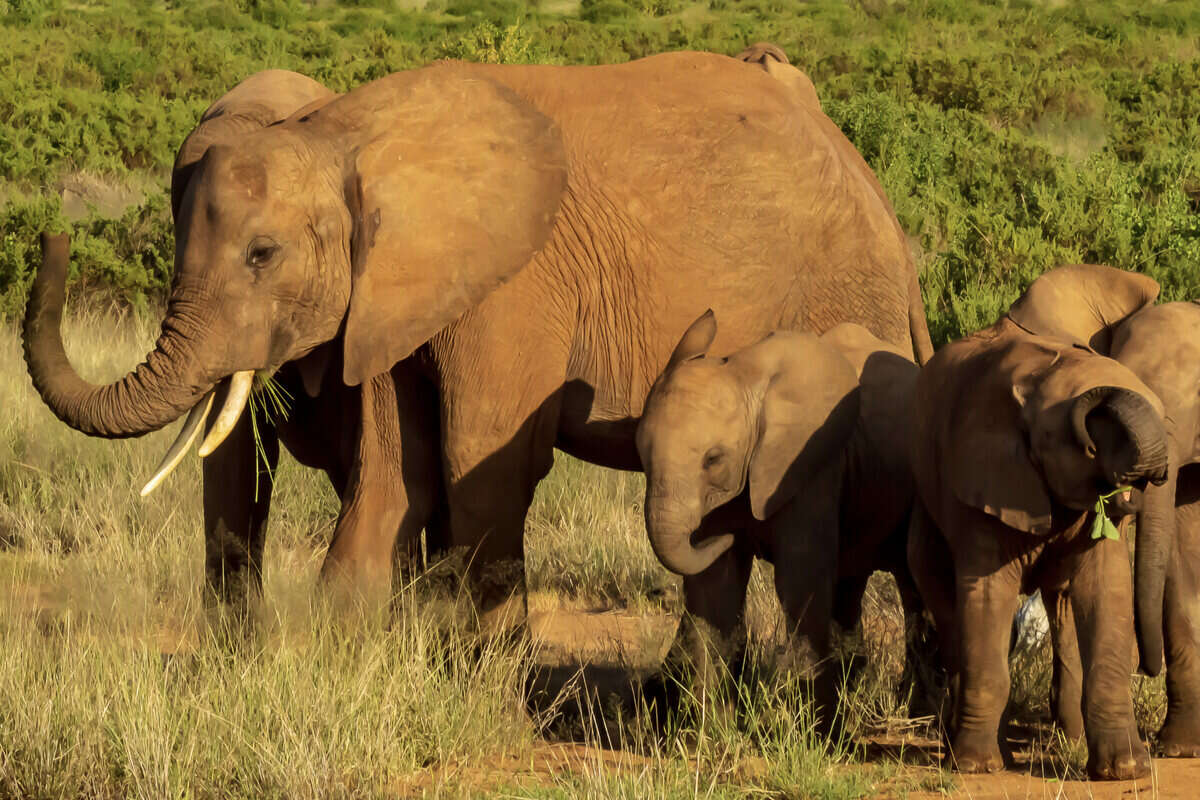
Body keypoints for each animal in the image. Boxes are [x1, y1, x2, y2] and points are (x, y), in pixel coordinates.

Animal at [23, 48, 931, 633]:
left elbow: (480, 459)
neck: (342, 136)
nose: (50, 235)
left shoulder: (512, 284)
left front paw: (478, 687)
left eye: (262, 255)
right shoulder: (391, 296)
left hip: (843, 299)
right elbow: (402, 471)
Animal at [638, 311, 926, 724]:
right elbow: (715, 586)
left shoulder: (810, 465)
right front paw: (710, 728)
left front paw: (818, 731)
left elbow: (799, 577)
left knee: (913, 583)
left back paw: (914, 710)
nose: (713, 538)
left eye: (713, 459)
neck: (745, 377)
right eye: (640, 457)